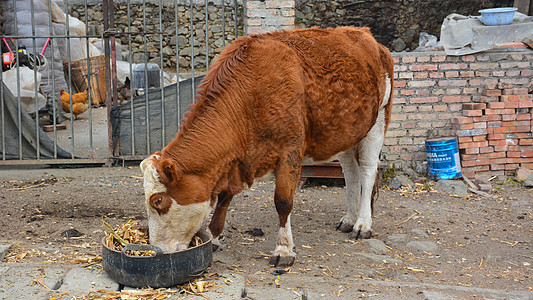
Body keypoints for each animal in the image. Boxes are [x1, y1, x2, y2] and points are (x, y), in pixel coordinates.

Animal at [140, 27, 390, 268]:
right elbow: (223, 197)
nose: (158, 250)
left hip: (377, 121)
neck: (251, 95)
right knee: (350, 173)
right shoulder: (237, 160)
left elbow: (283, 201)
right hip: (346, 131)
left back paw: (362, 224)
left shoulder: (290, 150)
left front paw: (284, 249)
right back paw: (348, 219)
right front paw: (215, 237)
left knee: (367, 171)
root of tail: (367, 35)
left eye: (158, 201)